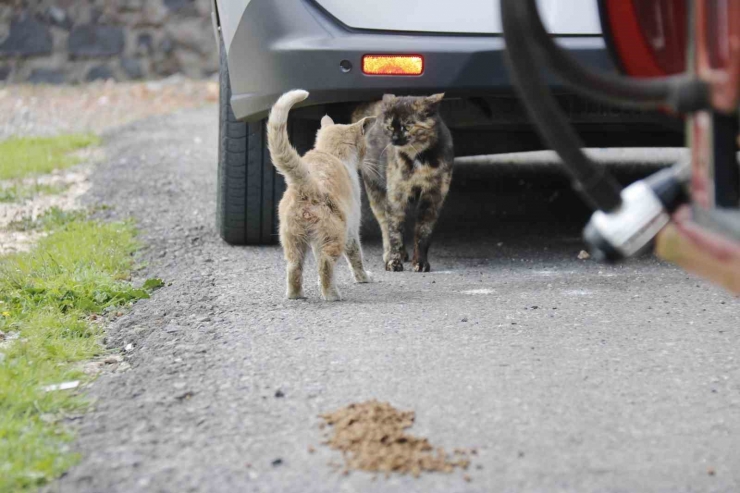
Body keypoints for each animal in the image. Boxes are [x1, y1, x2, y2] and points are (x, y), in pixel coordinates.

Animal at [352, 94, 454, 270]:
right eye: (389, 127)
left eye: (407, 125)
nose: (393, 139)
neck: (419, 159)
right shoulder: (395, 196)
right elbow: (395, 231)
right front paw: (394, 261)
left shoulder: (433, 197)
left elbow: (423, 232)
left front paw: (420, 262)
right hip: (375, 192)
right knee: (385, 224)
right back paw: (389, 254)